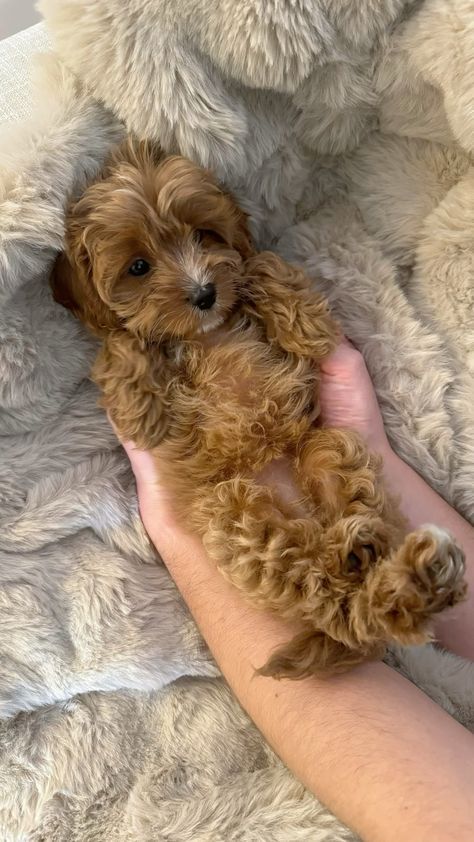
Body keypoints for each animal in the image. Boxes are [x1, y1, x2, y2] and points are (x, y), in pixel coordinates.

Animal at [50, 139, 464, 676]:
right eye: (137, 267)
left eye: (204, 235)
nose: (205, 292)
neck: (207, 335)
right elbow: (123, 345)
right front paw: (138, 390)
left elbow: (264, 267)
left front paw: (288, 310)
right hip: (234, 510)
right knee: (334, 600)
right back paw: (387, 569)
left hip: (326, 446)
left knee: (349, 593)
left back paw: (384, 560)